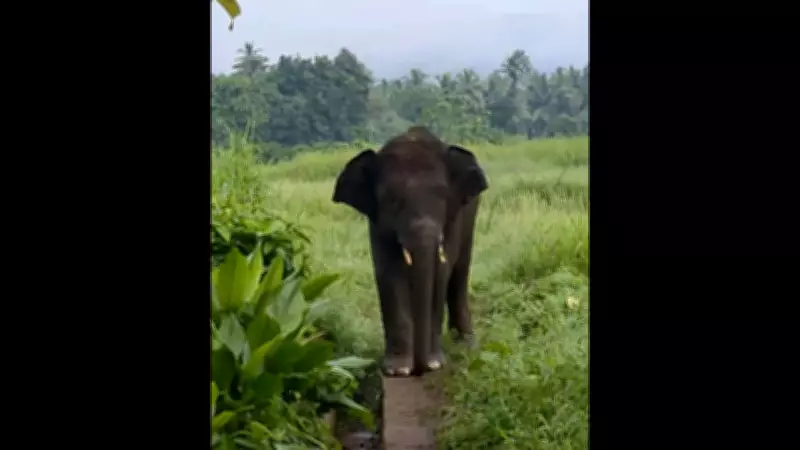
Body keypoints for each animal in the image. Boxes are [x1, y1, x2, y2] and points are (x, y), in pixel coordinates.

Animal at [332, 126, 488, 377]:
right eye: (393, 200)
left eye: (442, 196)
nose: (421, 367)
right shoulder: (378, 223)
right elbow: (388, 272)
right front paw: (399, 369)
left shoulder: (453, 217)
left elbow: (441, 271)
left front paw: (434, 363)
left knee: (460, 273)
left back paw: (466, 345)